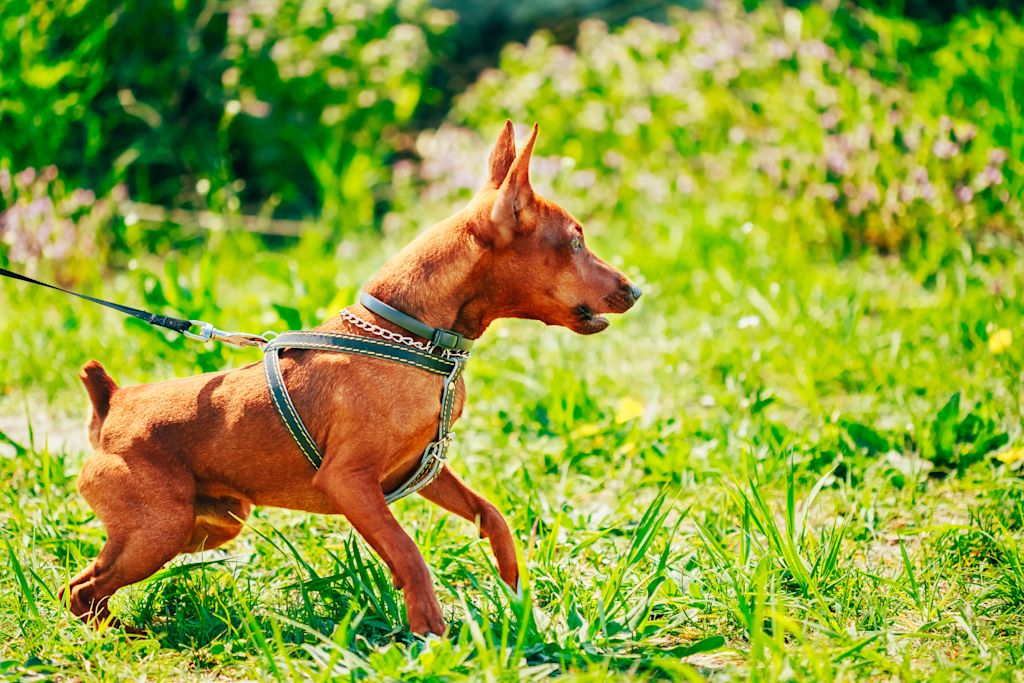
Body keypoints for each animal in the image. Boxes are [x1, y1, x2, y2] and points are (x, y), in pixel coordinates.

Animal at [61, 121, 638, 634]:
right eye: (576, 243)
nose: (635, 289)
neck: (405, 335)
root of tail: (112, 404)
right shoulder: (350, 482)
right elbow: (408, 552)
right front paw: (430, 632)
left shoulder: (420, 468)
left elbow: (490, 514)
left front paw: (515, 589)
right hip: (161, 529)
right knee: (81, 588)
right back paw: (118, 637)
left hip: (209, 525)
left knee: (88, 584)